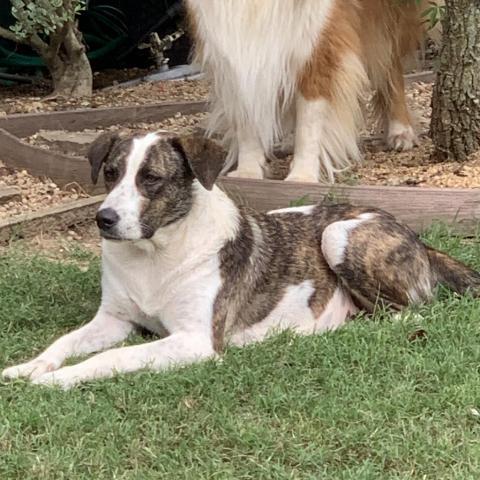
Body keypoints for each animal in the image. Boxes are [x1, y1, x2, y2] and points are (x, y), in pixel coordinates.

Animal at [3, 132, 480, 390]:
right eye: (110, 173)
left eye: (151, 178)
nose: (104, 220)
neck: (156, 255)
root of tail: (415, 236)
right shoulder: (114, 320)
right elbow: (64, 343)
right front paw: (31, 366)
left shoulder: (194, 340)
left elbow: (111, 360)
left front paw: (58, 380)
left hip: (338, 235)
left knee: (407, 311)